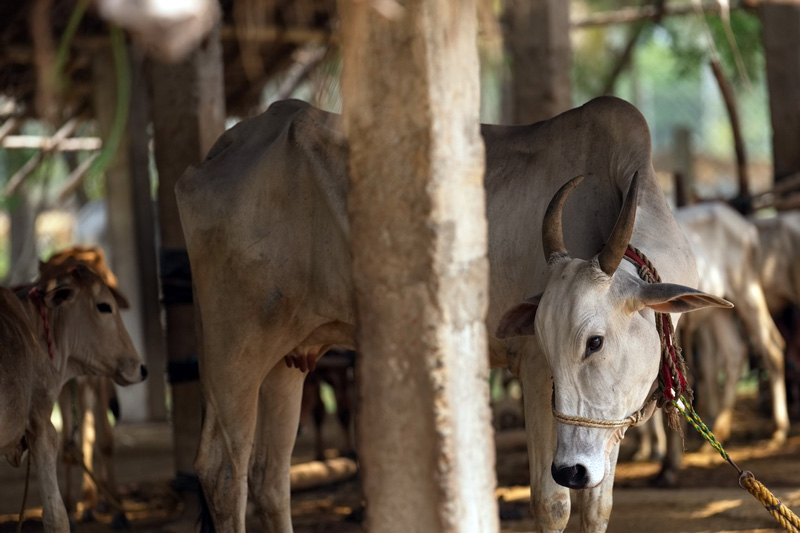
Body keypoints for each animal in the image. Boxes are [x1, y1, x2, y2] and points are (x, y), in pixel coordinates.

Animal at [176, 96, 730, 532]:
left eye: (595, 342)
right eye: (548, 344)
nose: (571, 470)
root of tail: (221, 151)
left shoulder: (602, 425)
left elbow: (597, 507)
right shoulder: (535, 375)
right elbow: (552, 504)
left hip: (288, 358)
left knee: (270, 478)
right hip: (236, 346)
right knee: (223, 475)